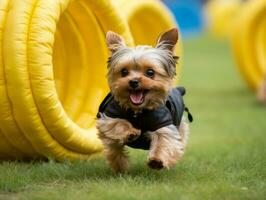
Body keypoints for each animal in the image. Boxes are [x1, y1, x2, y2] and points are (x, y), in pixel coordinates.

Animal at [96, 27, 192, 173]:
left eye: (150, 72)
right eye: (124, 72)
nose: (133, 81)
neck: (138, 110)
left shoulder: (164, 124)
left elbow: (164, 140)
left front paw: (157, 160)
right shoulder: (108, 118)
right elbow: (116, 124)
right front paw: (130, 132)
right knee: (114, 150)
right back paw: (119, 166)